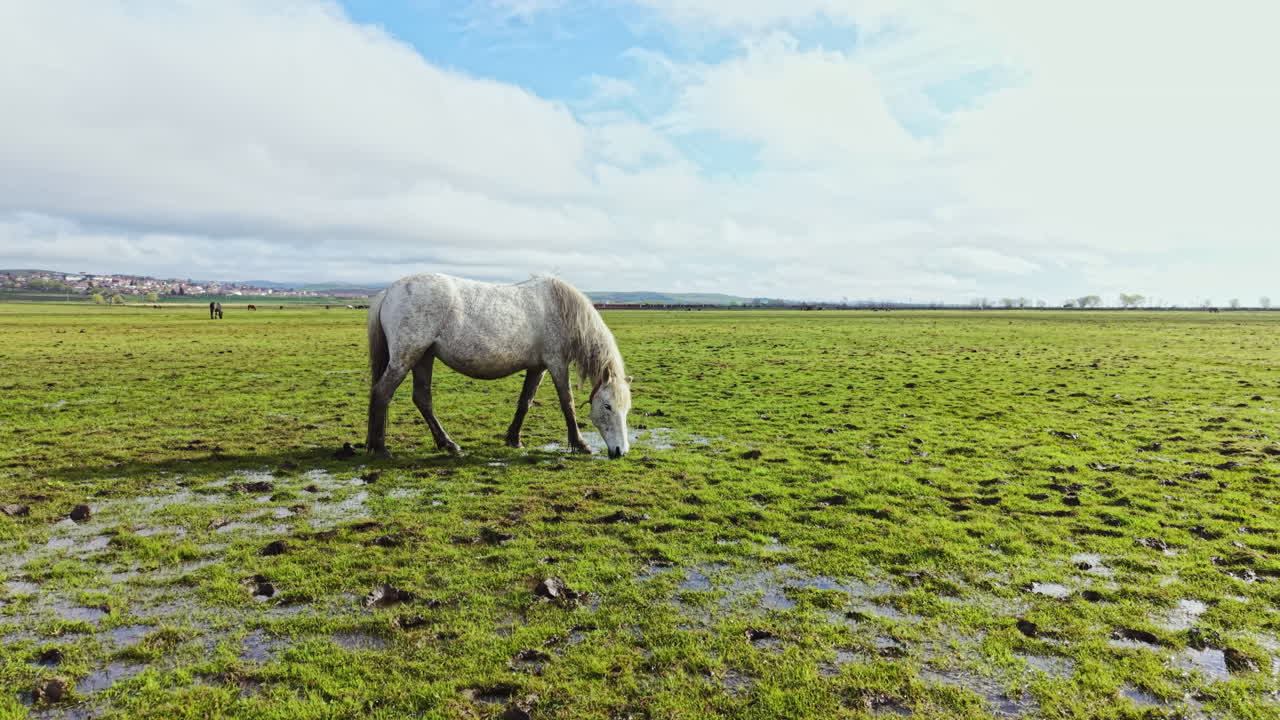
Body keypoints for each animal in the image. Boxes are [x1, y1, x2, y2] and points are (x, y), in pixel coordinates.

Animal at [365, 273, 633, 459]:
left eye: (626, 409)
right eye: (607, 406)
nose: (621, 451)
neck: (561, 309)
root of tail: (388, 292)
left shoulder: (538, 367)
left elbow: (525, 401)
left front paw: (514, 439)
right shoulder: (557, 363)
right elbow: (567, 404)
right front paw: (580, 444)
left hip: (424, 357)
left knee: (422, 399)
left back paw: (448, 444)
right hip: (407, 356)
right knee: (382, 392)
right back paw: (380, 448)